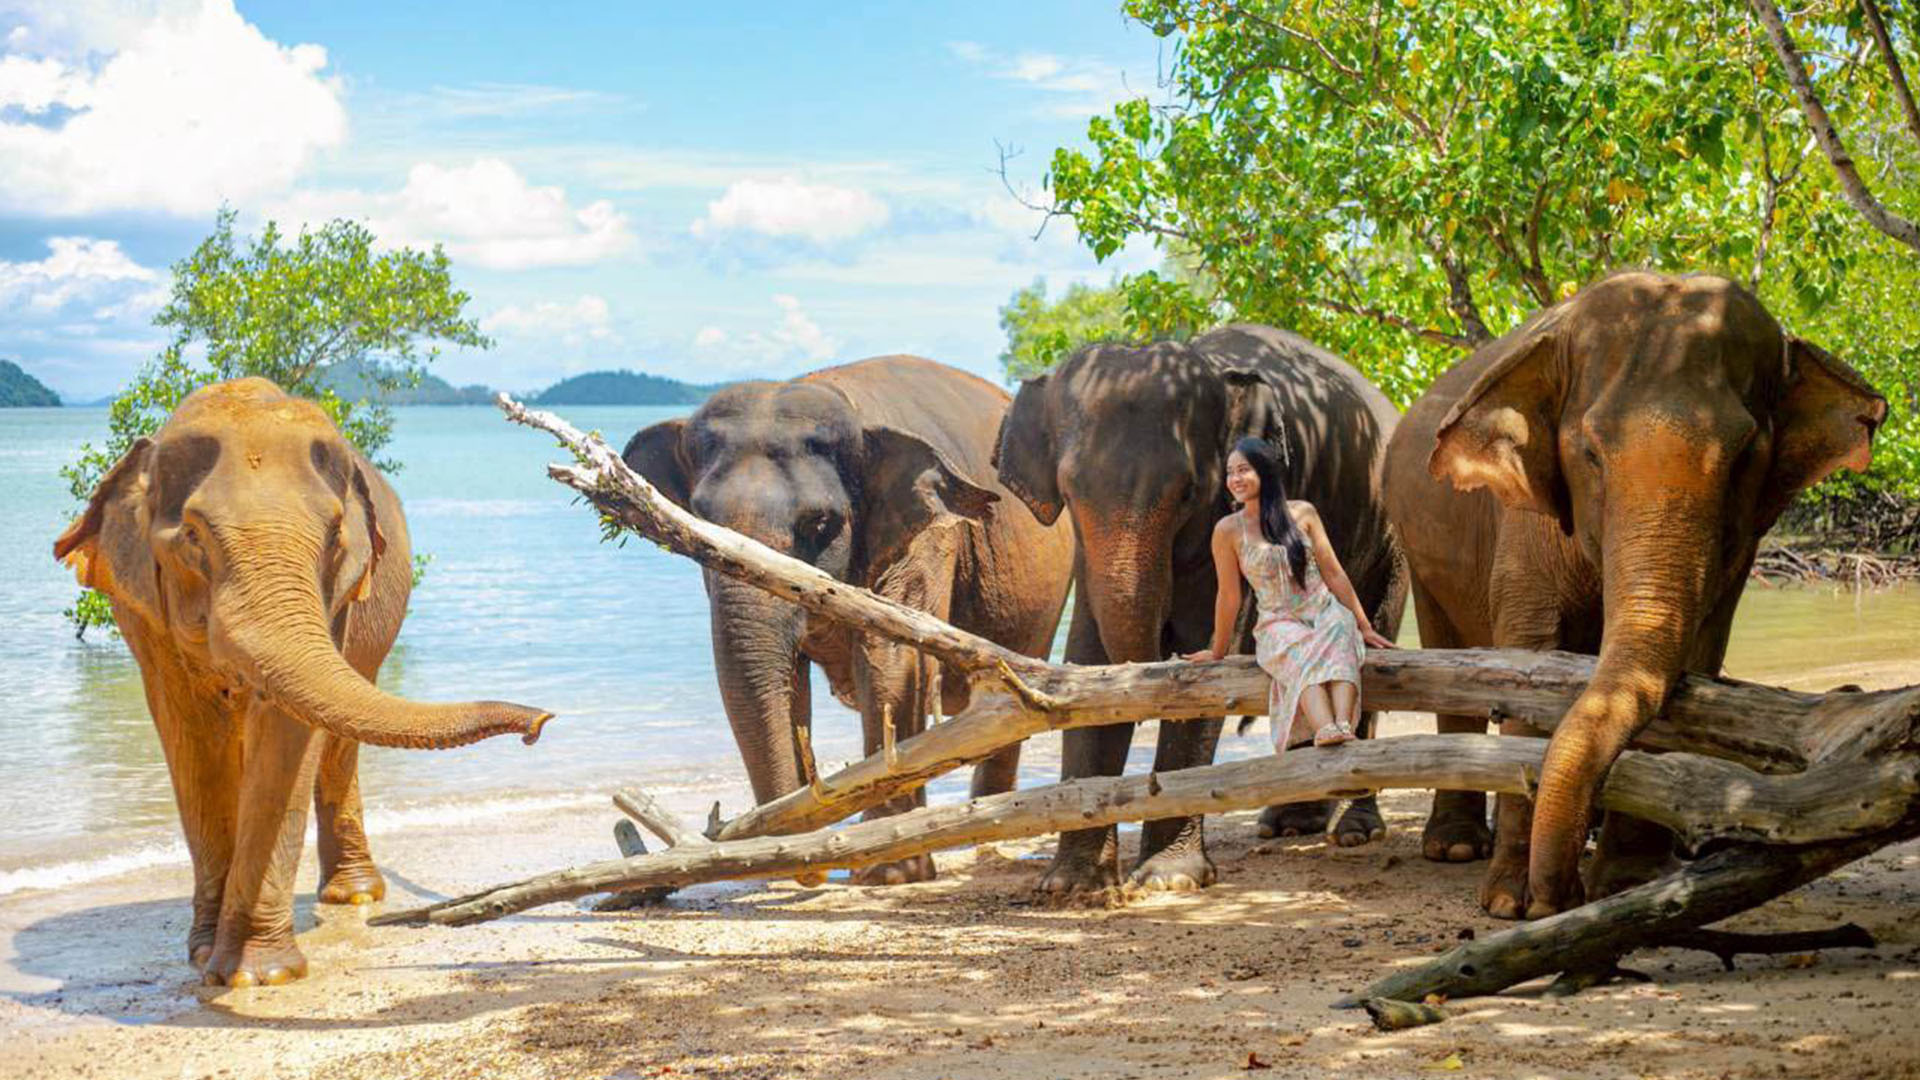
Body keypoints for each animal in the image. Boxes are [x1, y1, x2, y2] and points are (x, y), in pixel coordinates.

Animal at [54, 378, 552, 986]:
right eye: (192, 536)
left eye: (335, 533)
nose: (539, 724)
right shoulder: (140, 609)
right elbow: (190, 738)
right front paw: (206, 957)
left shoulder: (338, 597)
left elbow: (286, 737)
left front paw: (256, 976)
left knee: (337, 745)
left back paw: (353, 898)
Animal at [623, 355, 1075, 884]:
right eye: (696, 517)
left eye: (819, 522)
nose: (804, 859)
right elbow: (786, 680)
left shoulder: (926, 540)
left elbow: (891, 662)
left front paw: (890, 873)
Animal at [993, 323, 1408, 895]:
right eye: (1070, 493)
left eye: (1188, 493)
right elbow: (1088, 657)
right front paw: (1072, 888)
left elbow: (1211, 646)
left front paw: (1169, 881)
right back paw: (1289, 823)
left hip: (1391, 544)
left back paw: (1355, 831)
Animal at [1383, 271, 1887, 919]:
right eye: (1591, 454)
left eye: (1745, 455)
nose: (1555, 895)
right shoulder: (1525, 523)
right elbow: (1527, 654)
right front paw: (1511, 904)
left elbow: (1698, 654)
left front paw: (1627, 885)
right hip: (1422, 557)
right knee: (1450, 666)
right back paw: (1456, 849)